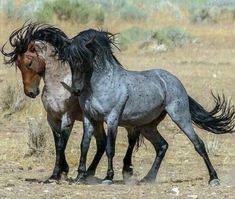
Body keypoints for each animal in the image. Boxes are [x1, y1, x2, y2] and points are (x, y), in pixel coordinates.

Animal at [1, 24, 140, 184]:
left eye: (29, 63)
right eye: (18, 65)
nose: (30, 92)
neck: (59, 84)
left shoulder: (67, 117)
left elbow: (62, 143)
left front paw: (58, 174)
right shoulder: (52, 118)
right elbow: (57, 143)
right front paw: (60, 172)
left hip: (123, 120)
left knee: (131, 138)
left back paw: (126, 169)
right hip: (97, 121)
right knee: (102, 142)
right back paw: (89, 172)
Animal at [34, 25, 234, 186]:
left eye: (85, 60)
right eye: (70, 61)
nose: (76, 90)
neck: (101, 84)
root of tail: (174, 80)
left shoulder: (112, 119)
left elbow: (110, 147)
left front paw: (108, 177)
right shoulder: (89, 118)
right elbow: (84, 145)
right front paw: (80, 177)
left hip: (180, 116)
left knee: (198, 144)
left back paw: (214, 178)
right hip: (147, 126)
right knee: (162, 146)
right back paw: (147, 179)